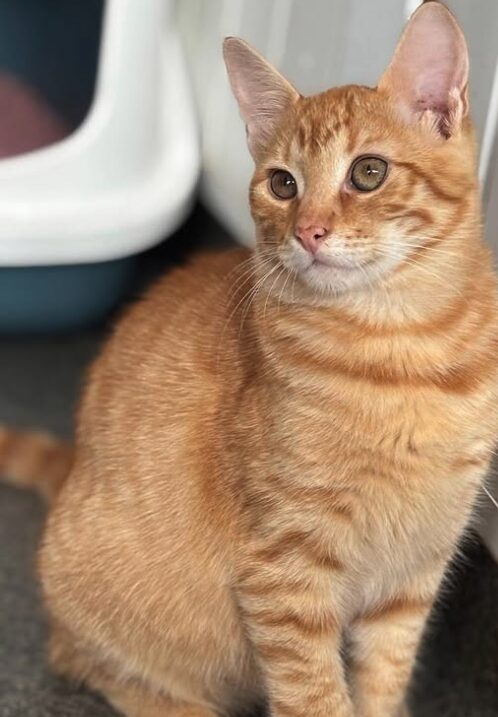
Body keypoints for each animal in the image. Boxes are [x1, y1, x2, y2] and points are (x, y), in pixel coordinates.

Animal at [0, 4, 498, 716]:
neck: (404, 349)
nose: (309, 232)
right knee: (87, 661)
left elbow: (382, 680)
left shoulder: (413, 575)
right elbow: (316, 695)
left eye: (368, 173)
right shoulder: (284, 574)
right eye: (283, 184)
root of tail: (74, 472)